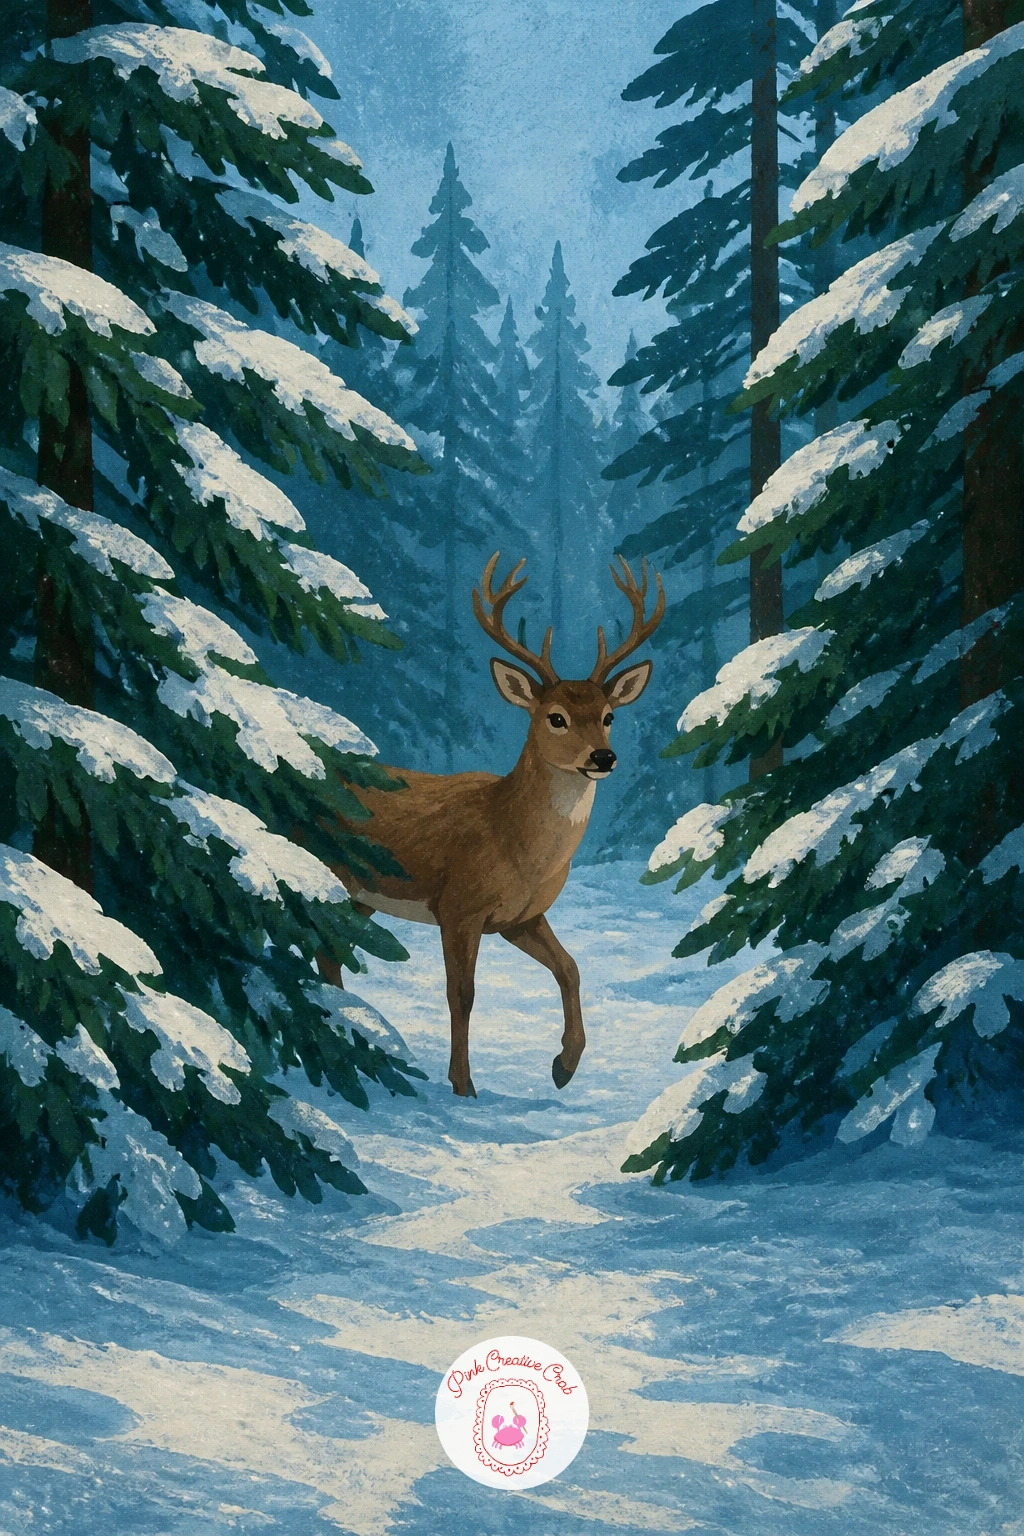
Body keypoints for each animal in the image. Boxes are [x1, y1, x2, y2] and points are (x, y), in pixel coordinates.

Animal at [322, 553, 664, 1098]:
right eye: (556, 717)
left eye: (610, 715)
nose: (603, 757)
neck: (513, 840)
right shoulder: (458, 906)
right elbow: (461, 993)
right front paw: (464, 1085)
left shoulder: (520, 917)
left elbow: (571, 969)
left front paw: (564, 1066)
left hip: (359, 894)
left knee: (329, 949)